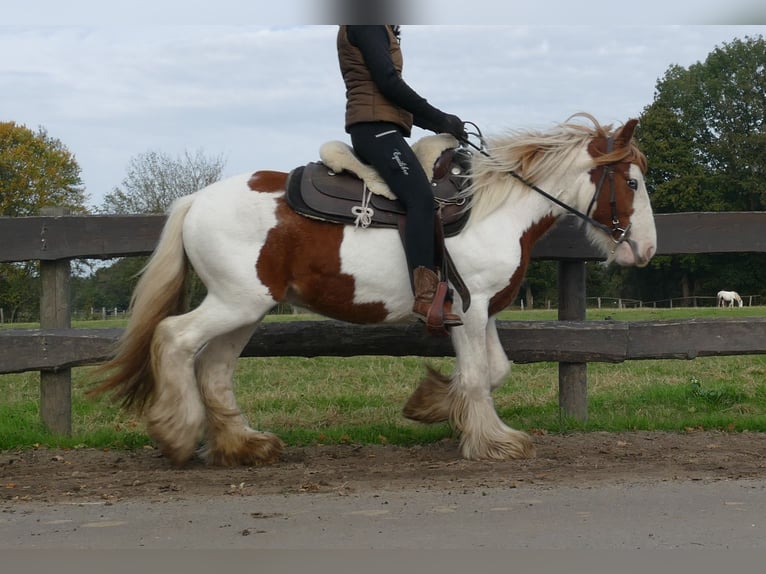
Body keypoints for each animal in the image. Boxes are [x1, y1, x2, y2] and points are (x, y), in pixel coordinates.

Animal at [93, 112, 660, 468]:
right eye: (632, 183)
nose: (647, 249)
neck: (492, 209)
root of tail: (194, 200)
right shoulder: (470, 309)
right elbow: (479, 376)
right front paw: (493, 442)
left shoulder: (484, 313)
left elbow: (493, 370)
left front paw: (431, 405)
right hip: (236, 302)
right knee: (173, 338)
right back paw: (178, 434)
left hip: (247, 308)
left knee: (213, 368)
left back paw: (244, 446)